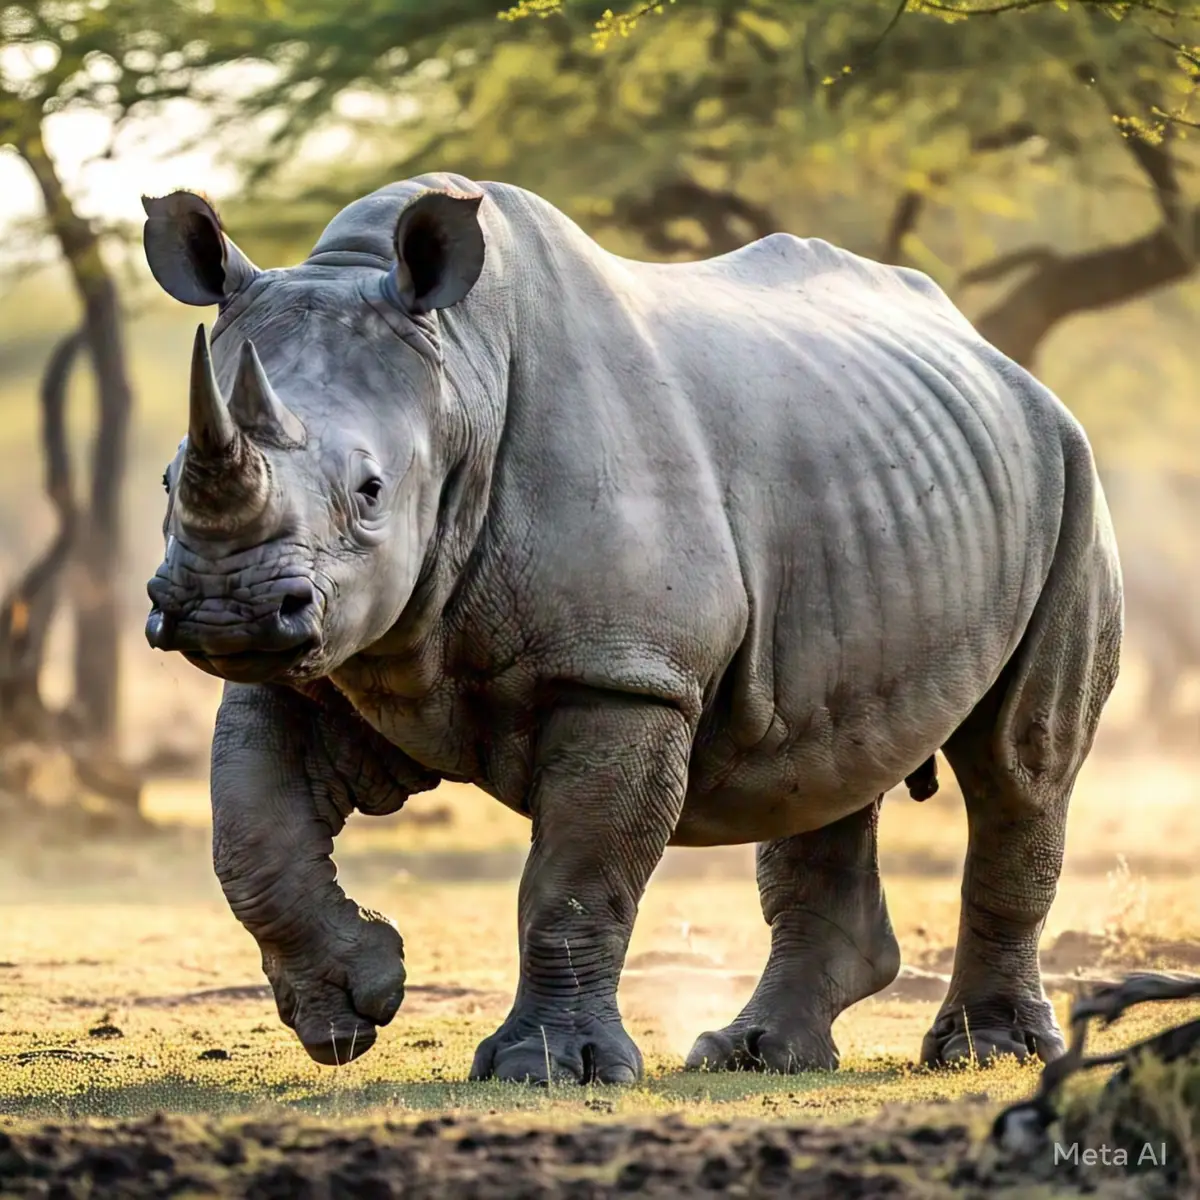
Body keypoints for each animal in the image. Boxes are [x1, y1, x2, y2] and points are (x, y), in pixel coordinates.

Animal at [141, 174, 1123, 1084]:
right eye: (167, 479)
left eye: (372, 491)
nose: (224, 606)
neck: (459, 376)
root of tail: (1000, 359)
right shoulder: (325, 651)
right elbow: (249, 839)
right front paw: (354, 1003)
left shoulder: (625, 669)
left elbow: (575, 879)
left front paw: (546, 1069)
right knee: (827, 754)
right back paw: (755, 1054)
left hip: (1070, 473)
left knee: (1017, 765)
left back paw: (983, 1052)